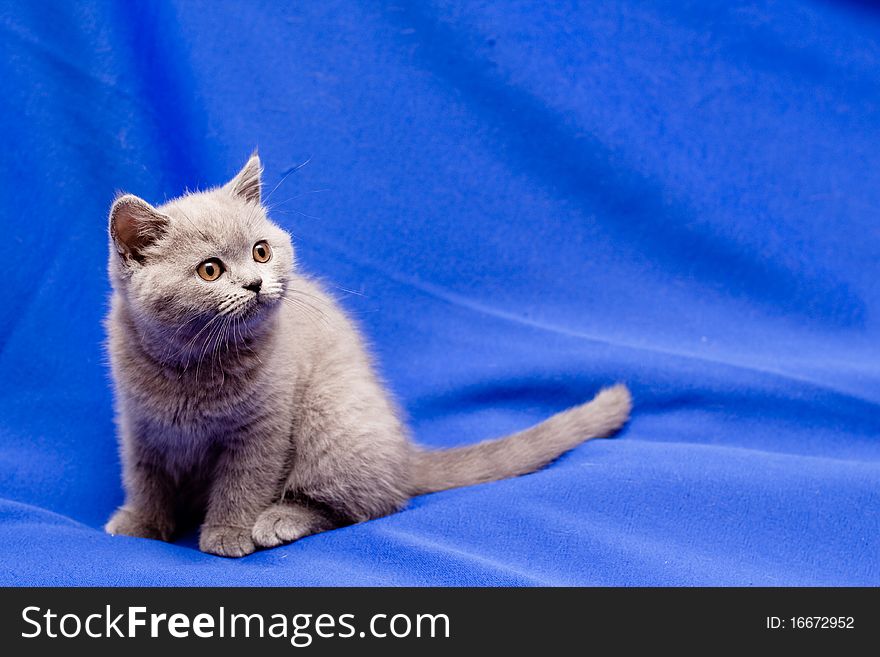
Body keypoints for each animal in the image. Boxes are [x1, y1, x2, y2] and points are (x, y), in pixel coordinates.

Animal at [105, 155, 632, 560]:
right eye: (210, 270)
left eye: (261, 252)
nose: (255, 283)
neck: (191, 368)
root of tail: (404, 453)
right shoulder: (140, 426)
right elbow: (144, 477)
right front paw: (140, 523)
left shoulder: (261, 430)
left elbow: (243, 482)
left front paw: (228, 533)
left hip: (331, 413)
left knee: (373, 503)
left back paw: (280, 519)